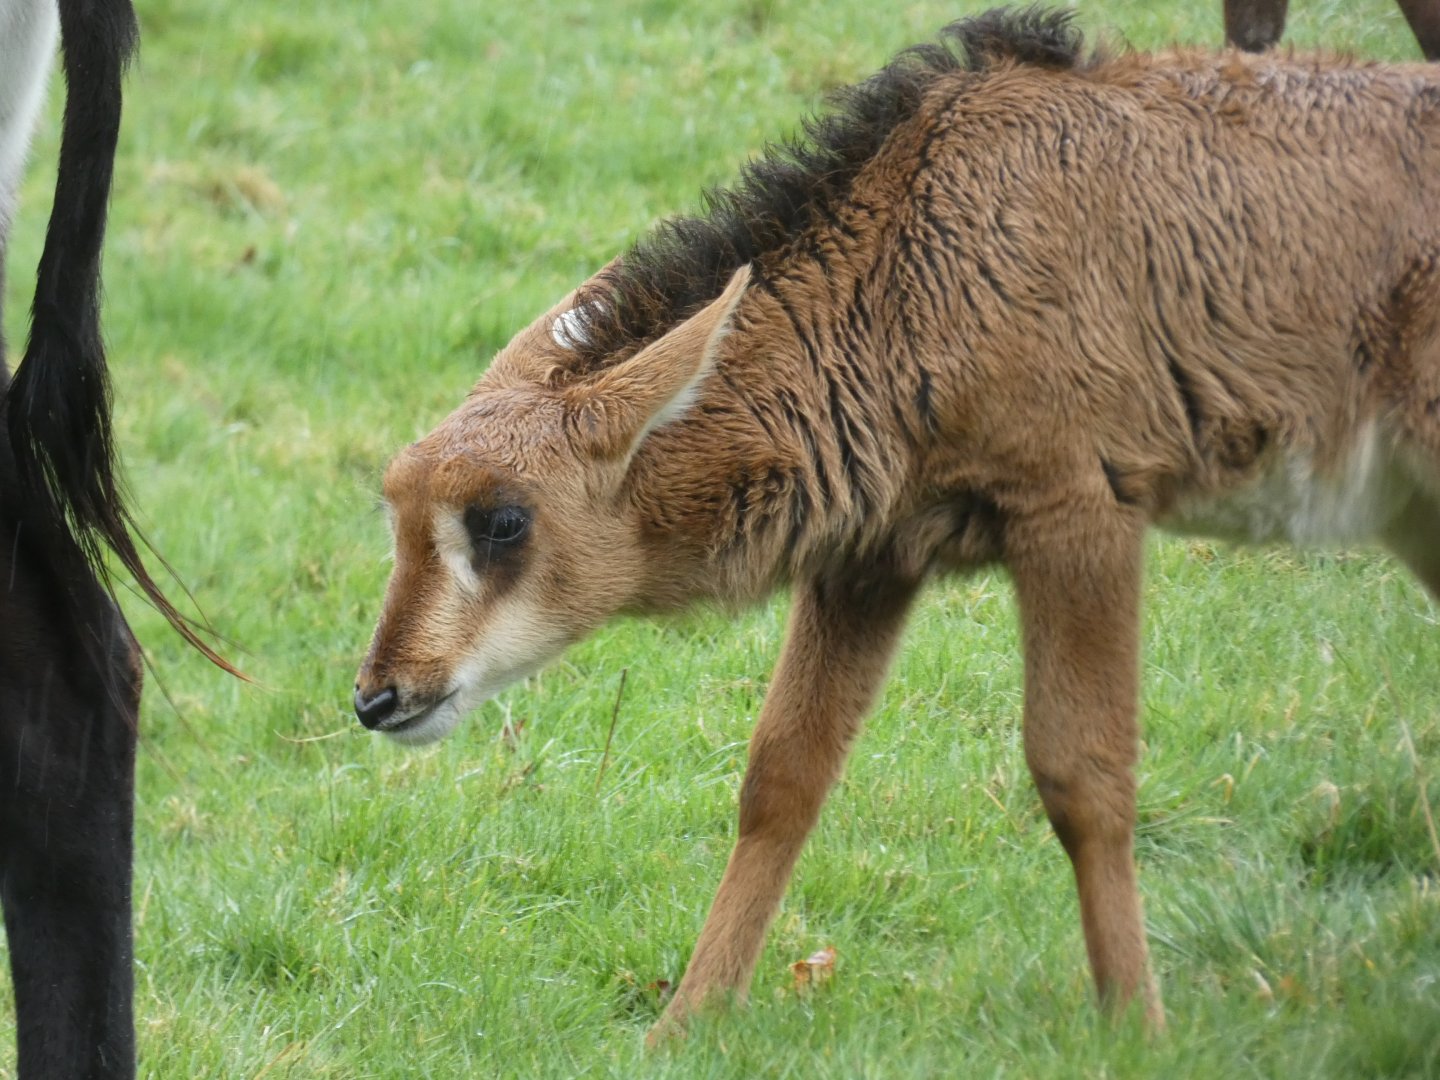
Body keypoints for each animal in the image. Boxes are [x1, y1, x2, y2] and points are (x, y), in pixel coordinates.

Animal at [356, 7, 1440, 1036]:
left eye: (501, 519)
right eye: (396, 508)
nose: (378, 697)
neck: (915, 257)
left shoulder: (1077, 511)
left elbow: (1083, 775)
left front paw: (1137, 1024)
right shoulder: (870, 559)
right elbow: (781, 779)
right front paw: (685, 1025)